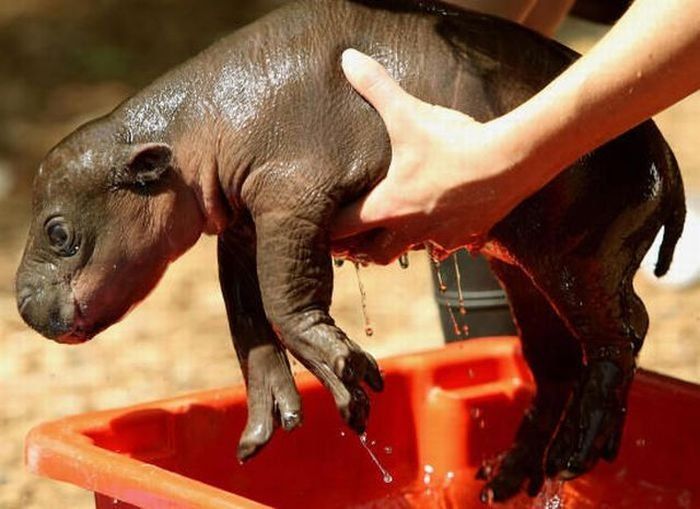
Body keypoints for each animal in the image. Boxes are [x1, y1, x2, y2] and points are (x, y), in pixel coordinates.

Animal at [15, 0, 684, 500]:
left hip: (578, 258)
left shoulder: (293, 196)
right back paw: (513, 475)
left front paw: (347, 378)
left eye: (58, 232)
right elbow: (248, 316)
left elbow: (285, 299)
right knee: (563, 357)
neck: (191, 129)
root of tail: (666, 150)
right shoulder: (247, 225)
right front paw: (271, 420)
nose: (21, 305)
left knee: (618, 335)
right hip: (525, 265)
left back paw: (578, 449)